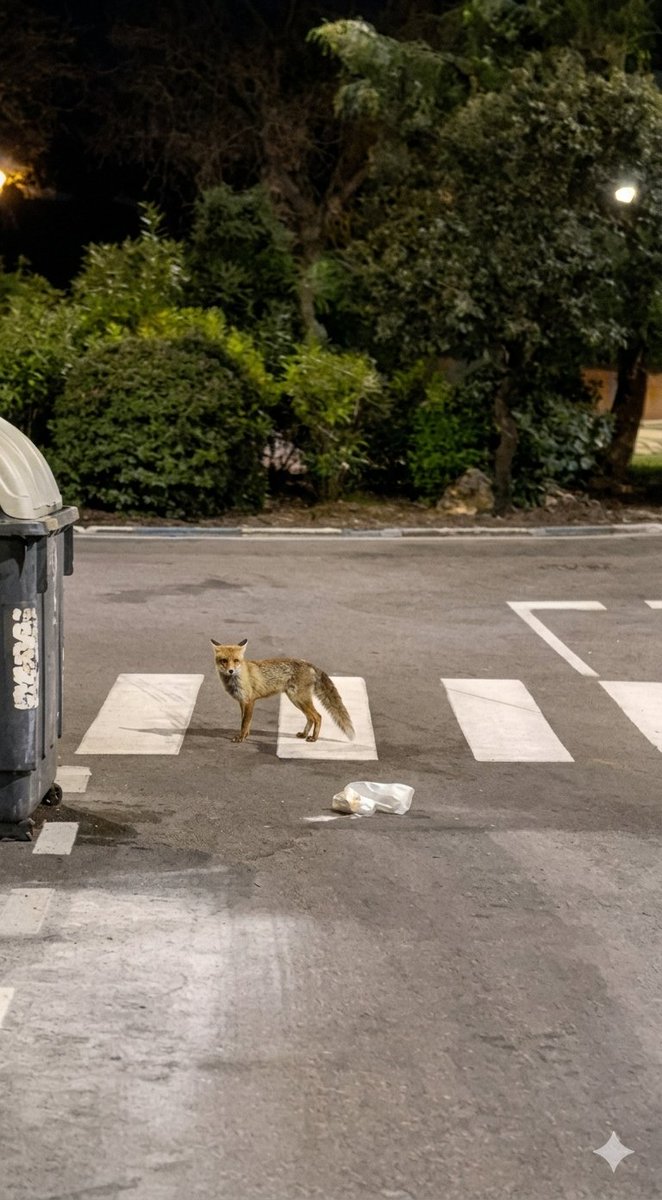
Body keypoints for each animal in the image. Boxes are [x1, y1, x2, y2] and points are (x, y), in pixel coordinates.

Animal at [211, 638, 355, 744]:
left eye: (236, 660)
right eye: (224, 661)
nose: (231, 671)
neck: (238, 677)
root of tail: (309, 664)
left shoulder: (249, 701)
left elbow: (245, 722)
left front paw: (241, 738)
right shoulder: (242, 701)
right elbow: (245, 721)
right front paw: (245, 736)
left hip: (300, 699)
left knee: (317, 716)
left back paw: (314, 738)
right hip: (296, 700)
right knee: (310, 717)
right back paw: (304, 734)